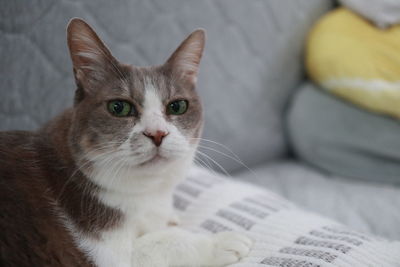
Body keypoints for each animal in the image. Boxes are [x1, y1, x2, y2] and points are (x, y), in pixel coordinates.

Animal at [0, 17, 252, 266]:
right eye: (118, 107)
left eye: (177, 106)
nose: (157, 133)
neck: (146, 191)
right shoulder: (107, 254)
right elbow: (162, 241)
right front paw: (221, 241)